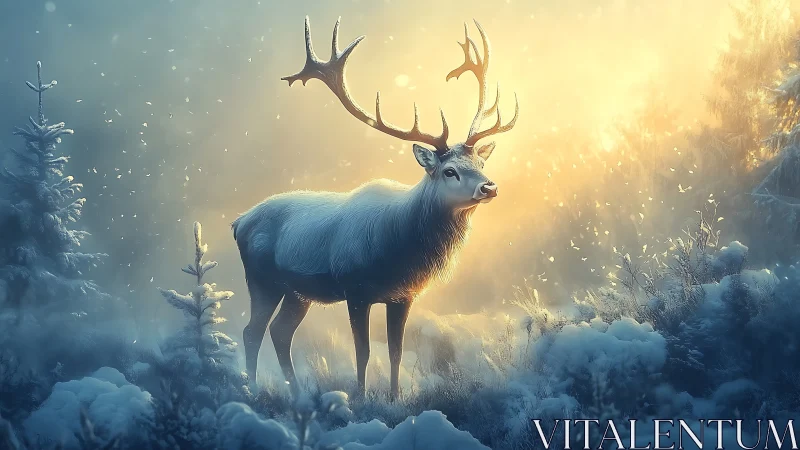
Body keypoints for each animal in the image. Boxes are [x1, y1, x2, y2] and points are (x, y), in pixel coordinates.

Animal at [232, 16, 518, 400]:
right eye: (449, 171)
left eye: (481, 163)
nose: (490, 187)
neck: (398, 249)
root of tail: (238, 222)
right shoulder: (355, 288)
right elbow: (363, 350)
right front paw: (360, 397)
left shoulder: (403, 295)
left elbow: (396, 350)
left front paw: (396, 398)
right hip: (262, 278)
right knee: (253, 331)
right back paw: (251, 390)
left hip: (296, 291)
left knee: (280, 331)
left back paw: (297, 391)